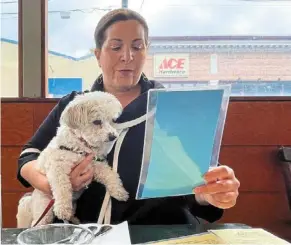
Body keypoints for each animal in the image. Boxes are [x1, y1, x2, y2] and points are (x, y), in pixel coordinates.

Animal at [16, 91, 129, 228]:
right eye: (97, 121)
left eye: (112, 120)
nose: (113, 136)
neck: (81, 146)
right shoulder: (57, 167)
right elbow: (62, 187)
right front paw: (63, 209)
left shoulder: (95, 164)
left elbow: (110, 174)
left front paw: (119, 191)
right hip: (44, 208)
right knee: (38, 221)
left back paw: (74, 220)